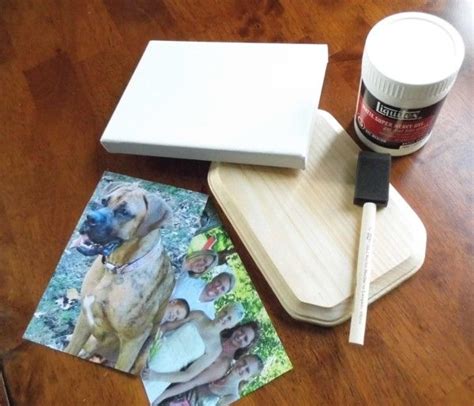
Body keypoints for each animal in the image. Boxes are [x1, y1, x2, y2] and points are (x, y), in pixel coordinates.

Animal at [66, 182, 176, 372]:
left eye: (124, 212)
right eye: (104, 201)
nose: (89, 218)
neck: (116, 268)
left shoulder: (133, 341)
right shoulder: (85, 319)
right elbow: (71, 349)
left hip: (145, 351)